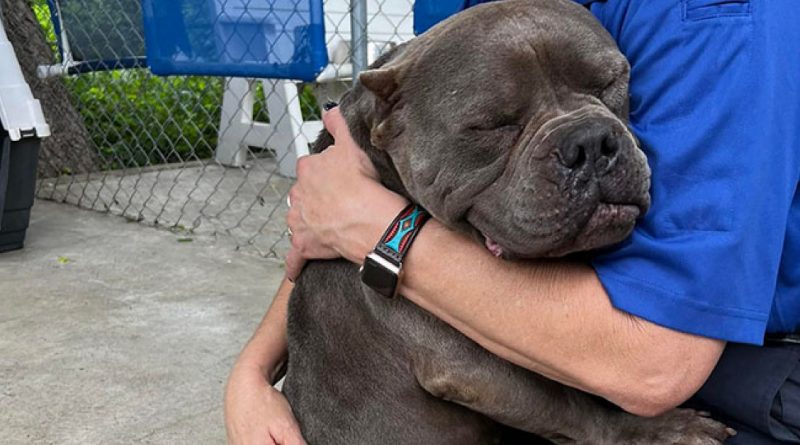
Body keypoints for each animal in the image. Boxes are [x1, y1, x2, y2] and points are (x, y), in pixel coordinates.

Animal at [284, 0, 736, 444]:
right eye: (493, 124)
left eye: (609, 82)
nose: (589, 141)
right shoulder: (467, 363)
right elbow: (571, 405)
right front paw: (657, 430)